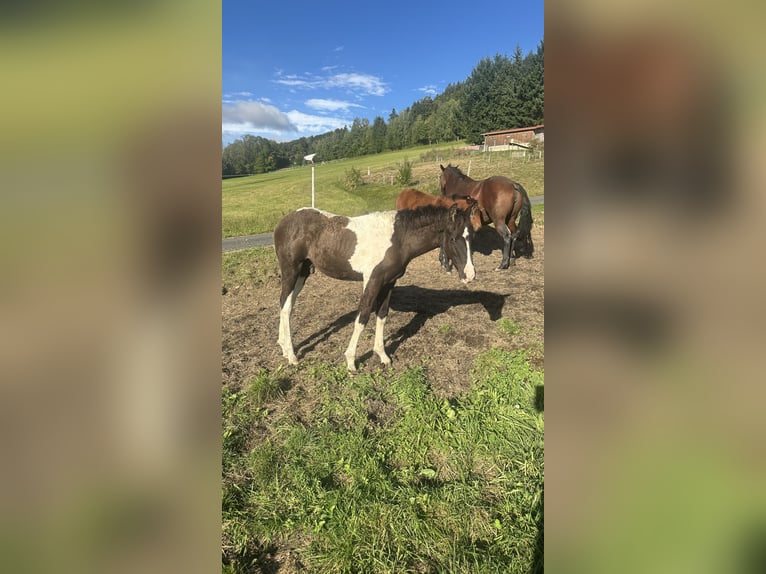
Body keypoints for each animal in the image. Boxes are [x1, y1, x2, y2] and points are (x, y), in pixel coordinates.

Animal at [274, 203, 479, 371]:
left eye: (472, 237)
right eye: (453, 239)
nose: (470, 275)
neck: (398, 239)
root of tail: (283, 222)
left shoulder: (388, 283)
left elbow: (382, 315)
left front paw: (383, 356)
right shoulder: (372, 280)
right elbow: (363, 317)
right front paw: (351, 361)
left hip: (303, 272)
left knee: (286, 303)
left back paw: (283, 347)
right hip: (291, 270)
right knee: (285, 305)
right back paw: (292, 356)